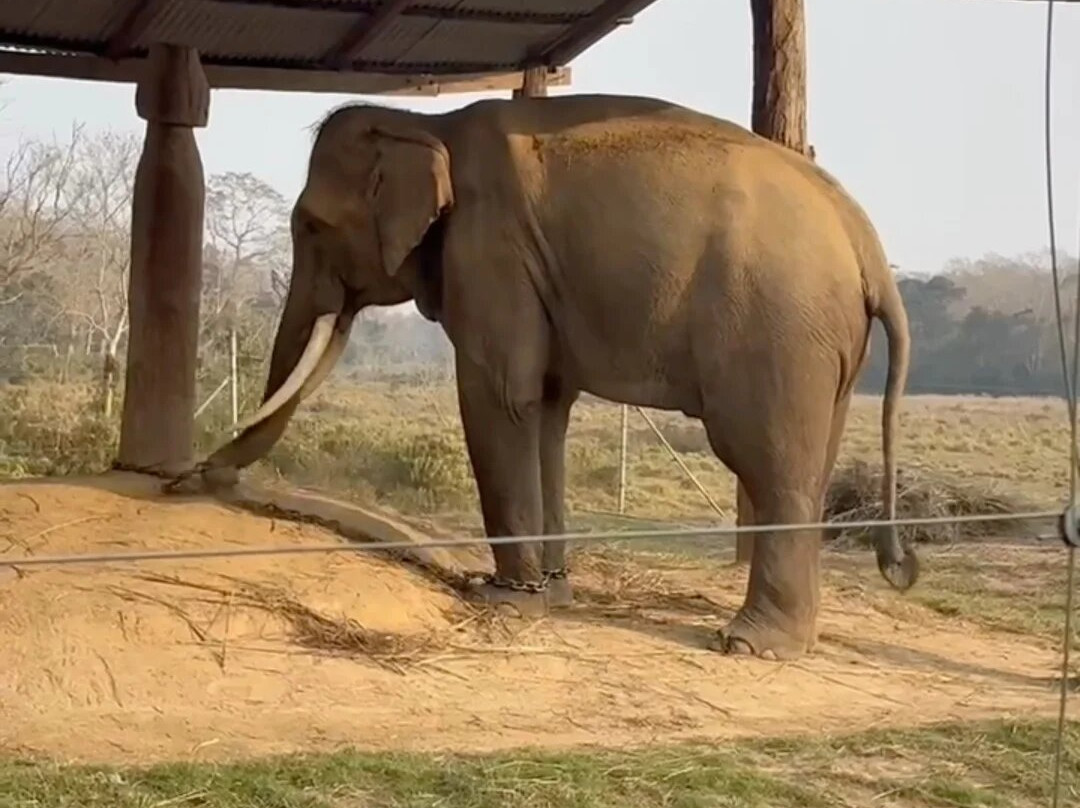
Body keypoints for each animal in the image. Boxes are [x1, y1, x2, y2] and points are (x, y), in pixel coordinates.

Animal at [190, 93, 916, 661]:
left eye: (312, 225)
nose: (200, 476)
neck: (429, 123)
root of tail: (867, 245)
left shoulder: (491, 249)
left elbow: (499, 396)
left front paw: (504, 599)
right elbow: (545, 409)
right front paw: (553, 592)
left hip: (777, 332)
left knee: (770, 462)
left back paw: (749, 644)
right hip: (825, 349)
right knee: (811, 462)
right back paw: (790, 640)